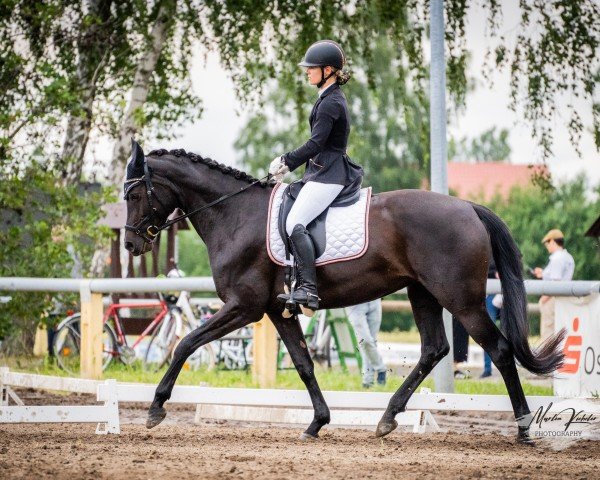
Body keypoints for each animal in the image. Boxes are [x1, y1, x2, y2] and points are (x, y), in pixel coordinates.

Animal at [124, 144, 564, 444]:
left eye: (134, 194)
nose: (131, 245)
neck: (234, 215)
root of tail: (469, 207)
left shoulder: (243, 307)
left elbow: (186, 343)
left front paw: (156, 407)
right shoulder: (276, 310)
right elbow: (304, 364)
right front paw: (317, 422)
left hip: (461, 299)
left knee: (500, 350)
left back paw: (524, 430)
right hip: (422, 292)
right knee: (434, 349)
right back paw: (387, 418)